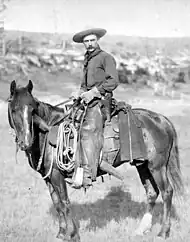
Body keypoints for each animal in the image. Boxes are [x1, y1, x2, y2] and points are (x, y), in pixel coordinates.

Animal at [7, 80, 184, 241]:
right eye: (14, 109)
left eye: (32, 109)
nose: (25, 142)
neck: (48, 130)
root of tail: (161, 119)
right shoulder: (49, 177)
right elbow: (57, 204)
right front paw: (61, 233)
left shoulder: (57, 175)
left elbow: (65, 203)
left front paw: (72, 234)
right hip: (143, 165)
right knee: (152, 192)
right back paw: (141, 229)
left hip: (157, 166)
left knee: (167, 192)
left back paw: (163, 232)